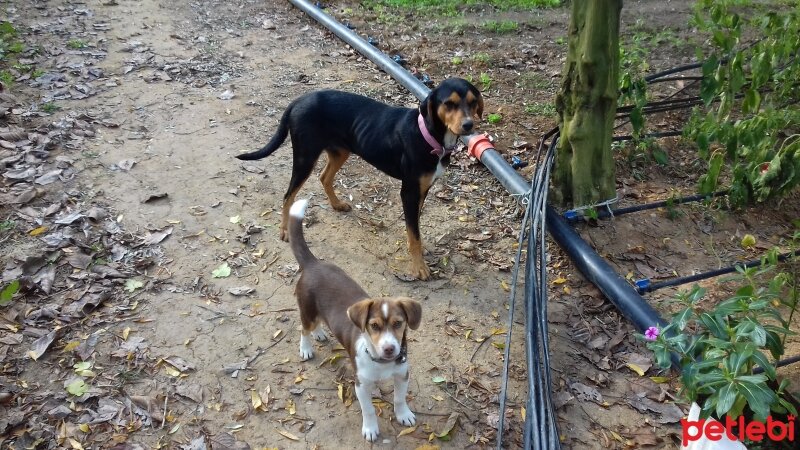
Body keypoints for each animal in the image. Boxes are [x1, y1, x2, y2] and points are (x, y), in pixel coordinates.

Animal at [234, 79, 484, 280]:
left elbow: (415, 228)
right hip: (305, 157)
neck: (428, 134)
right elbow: (414, 234)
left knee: (323, 177)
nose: (469, 125)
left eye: (473, 102)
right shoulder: (409, 192)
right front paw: (419, 267)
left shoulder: (423, 189)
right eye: (449, 103)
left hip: (339, 152)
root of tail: (299, 100)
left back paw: (336, 204)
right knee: (288, 195)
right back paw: (285, 229)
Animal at [290, 199, 424, 442]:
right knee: (304, 329)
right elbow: (368, 409)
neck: (382, 363)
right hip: (307, 311)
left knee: (317, 324)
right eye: (374, 326)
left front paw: (404, 414)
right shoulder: (361, 385)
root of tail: (313, 264)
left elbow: (399, 398)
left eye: (398, 323)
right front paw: (370, 429)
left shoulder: (402, 375)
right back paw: (306, 347)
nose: (390, 349)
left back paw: (320, 334)